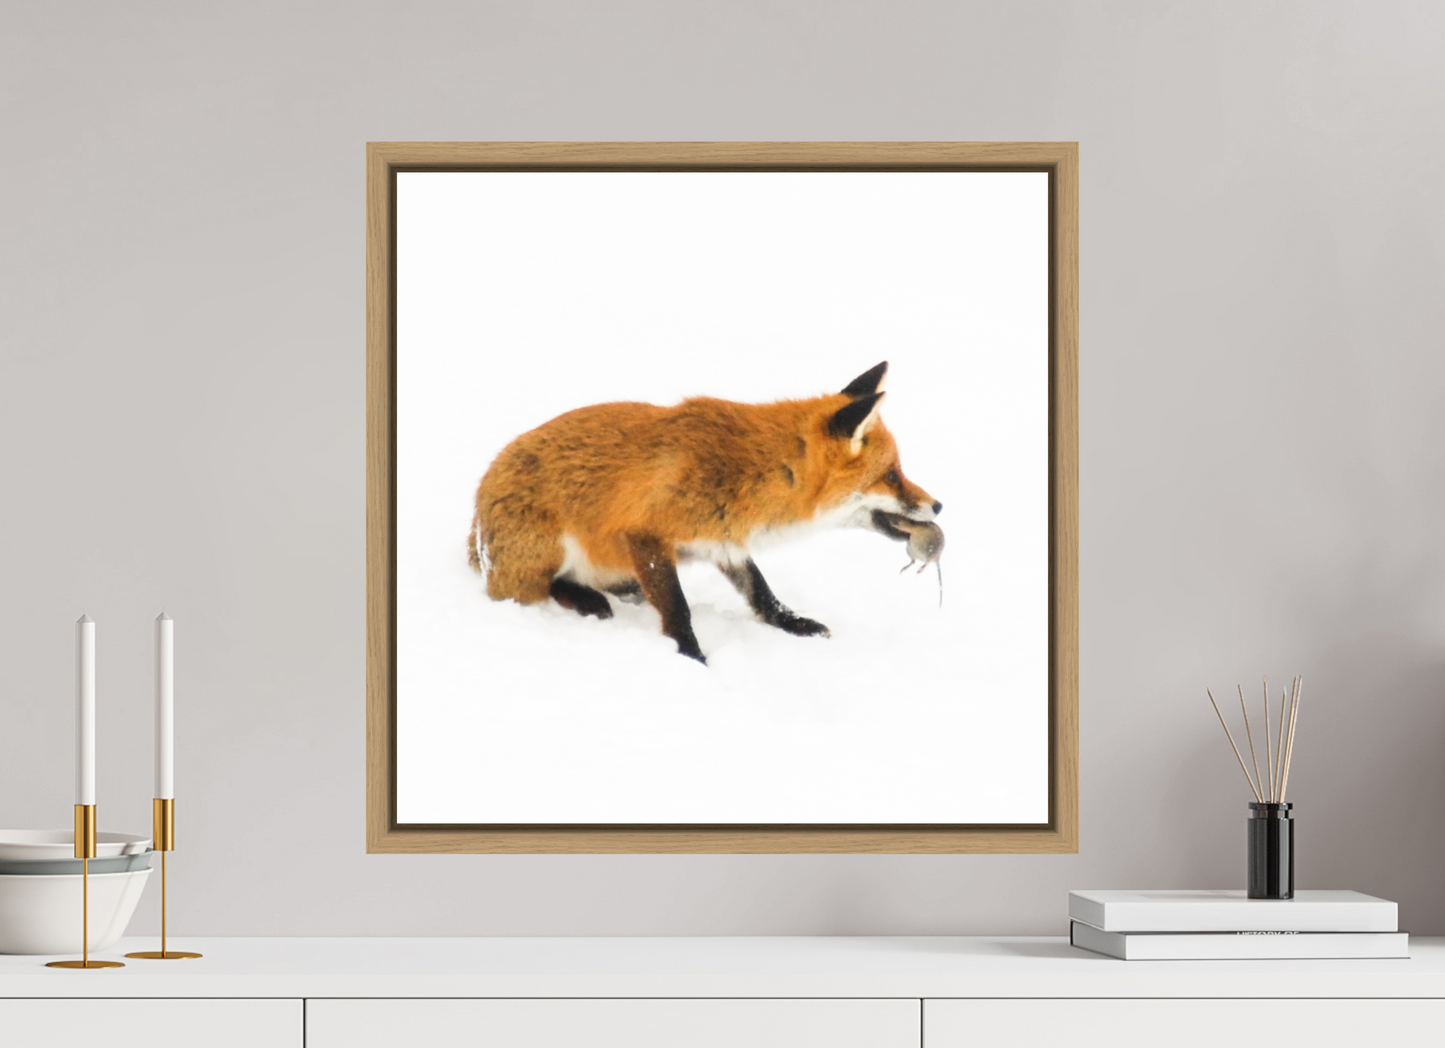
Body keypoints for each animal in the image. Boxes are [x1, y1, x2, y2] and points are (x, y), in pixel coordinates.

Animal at [467, 361, 941, 663]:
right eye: (893, 475)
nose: (939, 504)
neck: (752, 472)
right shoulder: (645, 534)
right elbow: (678, 609)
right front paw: (692, 658)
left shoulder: (723, 540)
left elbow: (762, 593)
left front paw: (794, 624)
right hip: (544, 554)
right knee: (532, 589)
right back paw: (585, 599)